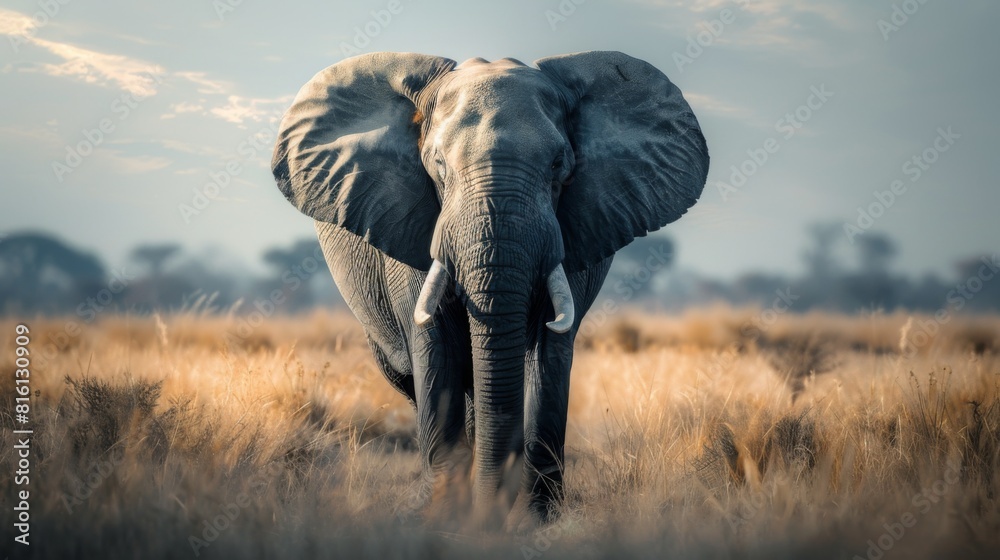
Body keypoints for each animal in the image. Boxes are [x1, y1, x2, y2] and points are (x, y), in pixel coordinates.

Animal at [271, 51, 709, 524]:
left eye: (558, 165)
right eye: (439, 166)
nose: (490, 516)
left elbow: (548, 353)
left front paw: (536, 519)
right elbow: (434, 347)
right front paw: (445, 514)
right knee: (411, 378)